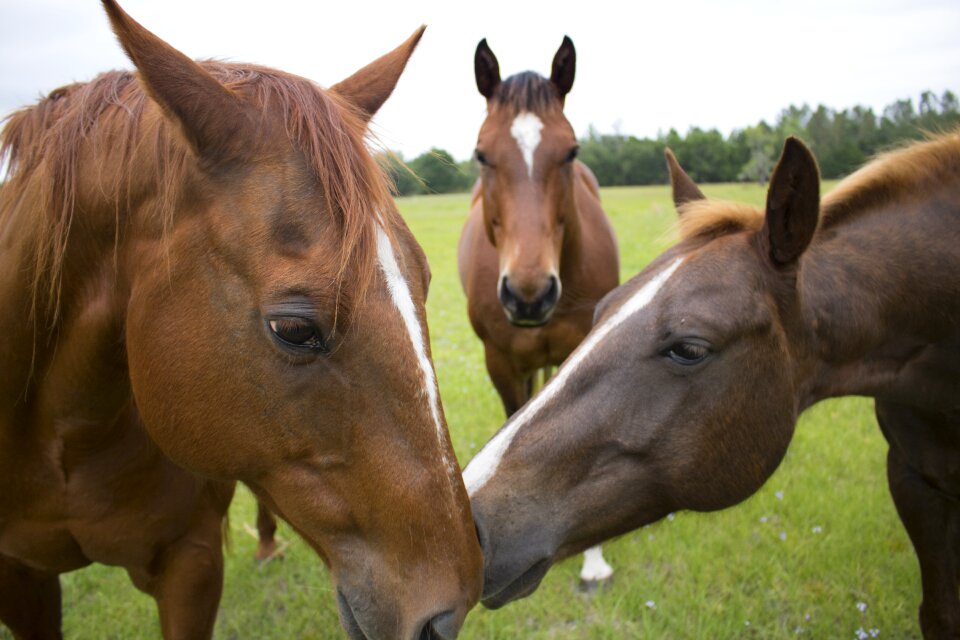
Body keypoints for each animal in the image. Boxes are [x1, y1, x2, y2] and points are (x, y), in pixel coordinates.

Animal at [0, 2, 480, 636]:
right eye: (294, 329)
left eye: (425, 279)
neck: (64, 438)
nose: (449, 611)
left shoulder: (192, 562)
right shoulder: (20, 578)